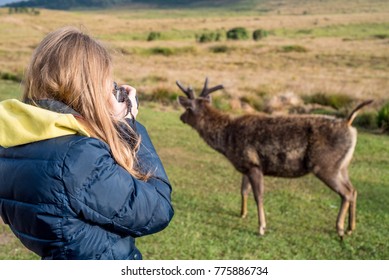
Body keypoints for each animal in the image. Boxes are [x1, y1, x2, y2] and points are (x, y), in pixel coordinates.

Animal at [175, 77, 370, 238]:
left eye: (187, 108)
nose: (181, 117)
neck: (226, 139)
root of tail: (349, 123)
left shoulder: (254, 165)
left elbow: (258, 196)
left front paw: (261, 227)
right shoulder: (246, 166)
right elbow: (243, 190)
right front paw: (242, 214)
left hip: (325, 165)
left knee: (346, 193)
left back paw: (340, 229)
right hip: (342, 166)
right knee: (353, 190)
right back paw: (351, 228)